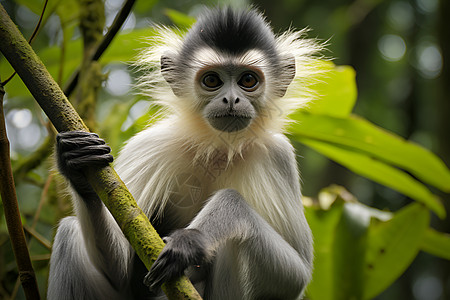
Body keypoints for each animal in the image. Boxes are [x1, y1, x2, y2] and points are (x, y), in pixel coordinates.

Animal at [48, 5, 324, 300]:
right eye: (212, 80)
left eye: (248, 80)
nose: (231, 100)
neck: (218, 148)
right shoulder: (151, 144)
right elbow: (119, 272)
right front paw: (77, 167)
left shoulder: (278, 155)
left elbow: (297, 276)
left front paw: (191, 240)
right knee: (68, 231)